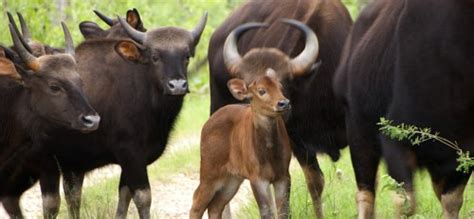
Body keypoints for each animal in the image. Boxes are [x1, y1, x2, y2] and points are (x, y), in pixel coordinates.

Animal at [191, 70, 290, 219]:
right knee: (197, 202)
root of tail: (206, 125)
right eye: (261, 91)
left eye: (280, 87)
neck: (269, 155)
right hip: (209, 169)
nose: (284, 103)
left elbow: (284, 212)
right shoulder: (256, 177)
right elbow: (266, 212)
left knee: (215, 206)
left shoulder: (284, 174)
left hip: (232, 178)